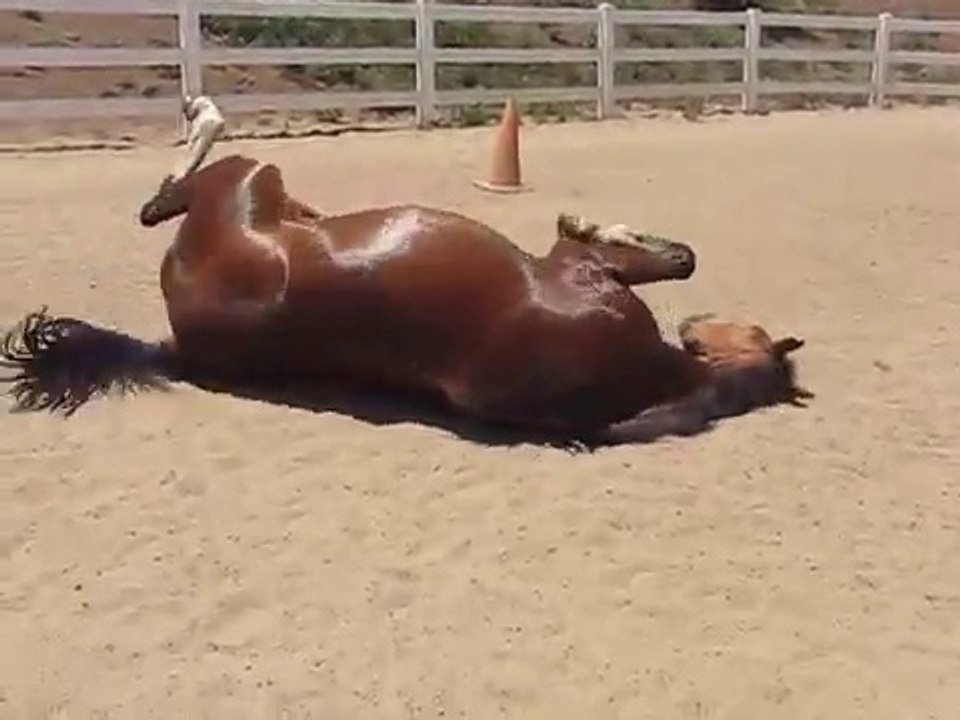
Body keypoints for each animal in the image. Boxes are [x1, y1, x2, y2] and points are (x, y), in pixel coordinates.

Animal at [0, 96, 810, 445]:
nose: (700, 320)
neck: (655, 374)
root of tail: (174, 341)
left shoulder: (582, 271)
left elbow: (627, 252)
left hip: (251, 179)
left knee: (166, 194)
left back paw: (204, 115)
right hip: (266, 186)